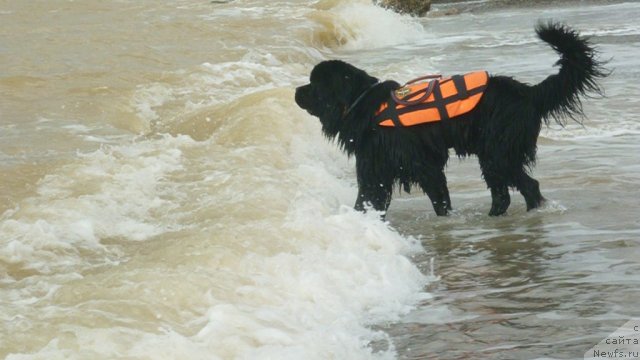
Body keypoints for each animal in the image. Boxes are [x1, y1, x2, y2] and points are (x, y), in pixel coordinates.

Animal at [296, 23, 604, 218]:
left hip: (498, 152)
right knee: (503, 193)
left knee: (527, 186)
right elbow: (369, 199)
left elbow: (437, 197)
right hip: (493, 155)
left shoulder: (419, 164)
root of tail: (528, 92)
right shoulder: (376, 168)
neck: (363, 104)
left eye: (313, 84)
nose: (296, 91)